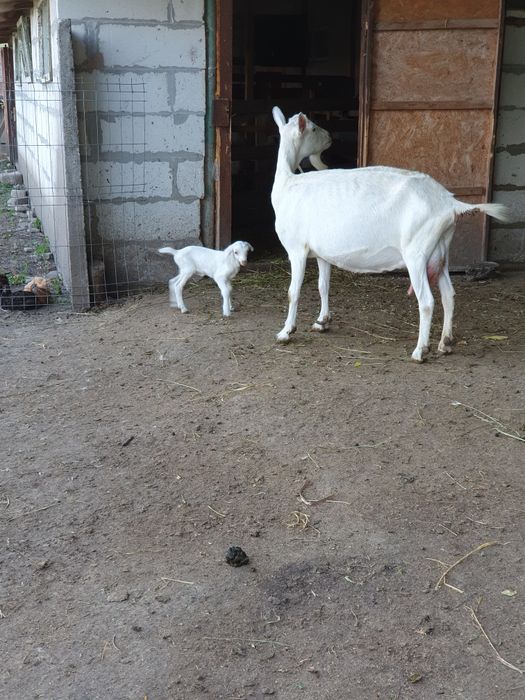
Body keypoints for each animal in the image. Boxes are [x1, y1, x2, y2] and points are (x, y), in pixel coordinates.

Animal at [271, 107, 512, 362]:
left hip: (416, 252)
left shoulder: (296, 249)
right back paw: (445, 343)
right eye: (315, 128)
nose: (330, 137)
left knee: (427, 301)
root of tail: (449, 203)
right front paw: (322, 322)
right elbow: (323, 286)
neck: (287, 184)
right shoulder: (322, 253)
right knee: (449, 295)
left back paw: (420, 351)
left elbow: (293, 291)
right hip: (440, 251)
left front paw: (286, 332)